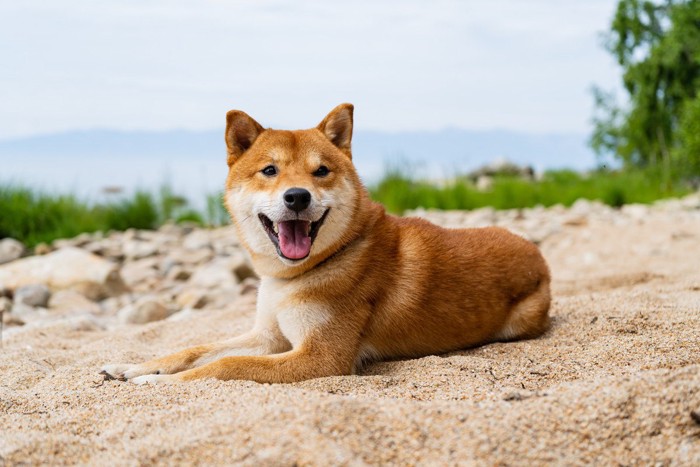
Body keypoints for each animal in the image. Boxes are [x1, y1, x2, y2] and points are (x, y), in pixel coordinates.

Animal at [102, 103, 552, 384]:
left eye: (321, 171)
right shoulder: (268, 336)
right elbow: (195, 348)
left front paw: (155, 382)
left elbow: (228, 364)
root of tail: (537, 253)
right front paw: (135, 367)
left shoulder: (320, 357)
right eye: (269, 170)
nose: (297, 196)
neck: (294, 276)